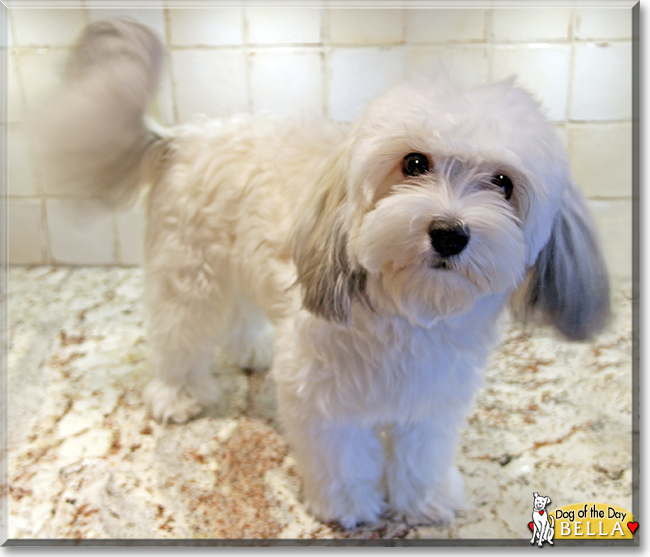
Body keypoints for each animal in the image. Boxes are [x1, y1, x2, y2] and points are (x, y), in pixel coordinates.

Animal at [35, 19, 612, 528]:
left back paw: (251, 350)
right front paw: (348, 507)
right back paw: (176, 396)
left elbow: (421, 455)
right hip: (190, 274)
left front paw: (424, 502)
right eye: (415, 163)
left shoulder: (433, 398)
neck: (409, 309)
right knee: (179, 335)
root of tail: (181, 135)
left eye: (502, 182)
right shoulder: (321, 394)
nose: (449, 233)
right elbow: (342, 456)